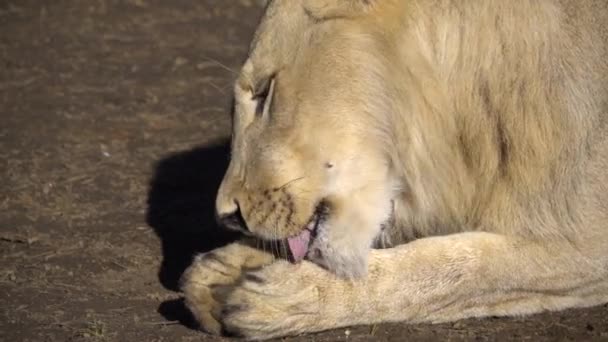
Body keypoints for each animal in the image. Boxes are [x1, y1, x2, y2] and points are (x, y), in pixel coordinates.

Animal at [180, 0, 608, 340]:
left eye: (264, 92)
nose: (227, 216)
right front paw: (223, 268)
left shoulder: (583, 247)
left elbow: (453, 267)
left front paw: (291, 295)